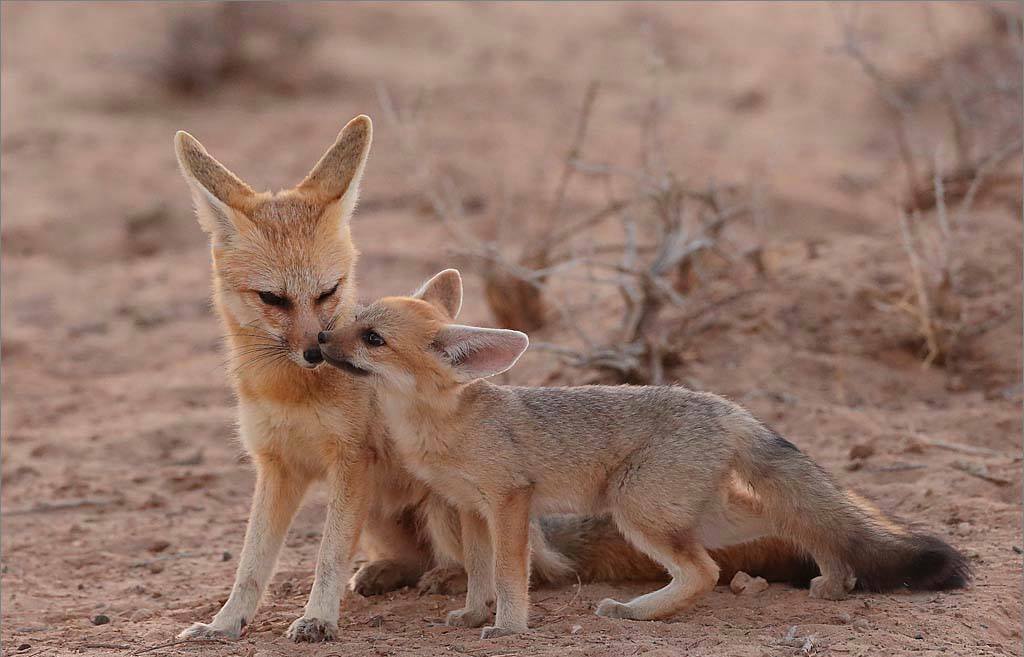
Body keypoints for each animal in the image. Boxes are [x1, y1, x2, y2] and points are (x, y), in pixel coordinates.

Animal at [174, 113, 831, 638]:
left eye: (330, 295)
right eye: (273, 299)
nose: (316, 350)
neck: (289, 390)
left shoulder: (349, 463)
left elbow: (326, 558)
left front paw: (316, 619)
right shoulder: (277, 467)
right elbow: (252, 563)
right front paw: (225, 624)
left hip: (445, 506)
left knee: (534, 569)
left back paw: (453, 584)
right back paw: (396, 574)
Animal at [317, 268, 966, 634]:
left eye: (371, 338)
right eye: (354, 320)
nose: (319, 341)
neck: (441, 425)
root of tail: (723, 405)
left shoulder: (508, 501)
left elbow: (507, 573)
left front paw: (507, 628)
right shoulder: (468, 509)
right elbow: (478, 573)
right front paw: (475, 615)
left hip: (639, 515)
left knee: (708, 571)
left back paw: (636, 612)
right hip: (696, 515)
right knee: (796, 519)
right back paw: (834, 577)